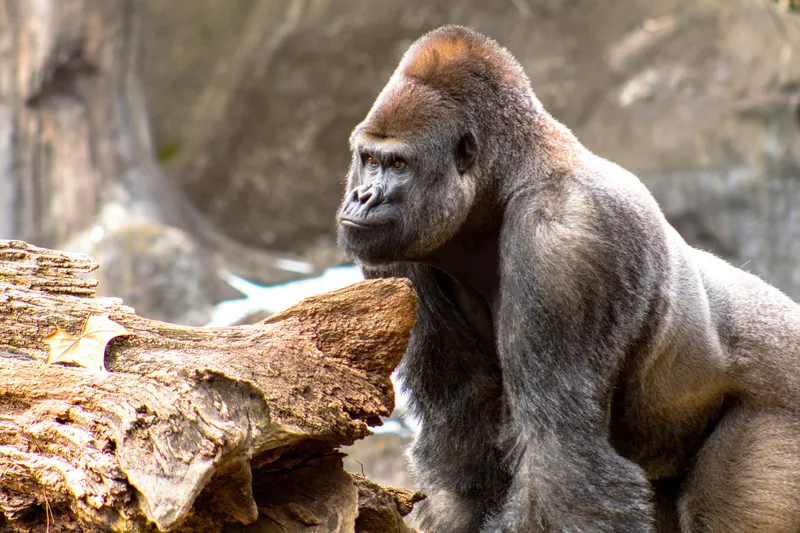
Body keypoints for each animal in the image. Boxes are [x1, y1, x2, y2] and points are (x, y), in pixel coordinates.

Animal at [336, 25, 800, 533]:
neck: (506, 181)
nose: (362, 197)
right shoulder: (399, 258)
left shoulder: (565, 244)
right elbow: (462, 436)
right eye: (368, 159)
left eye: (398, 165)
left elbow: (557, 459)